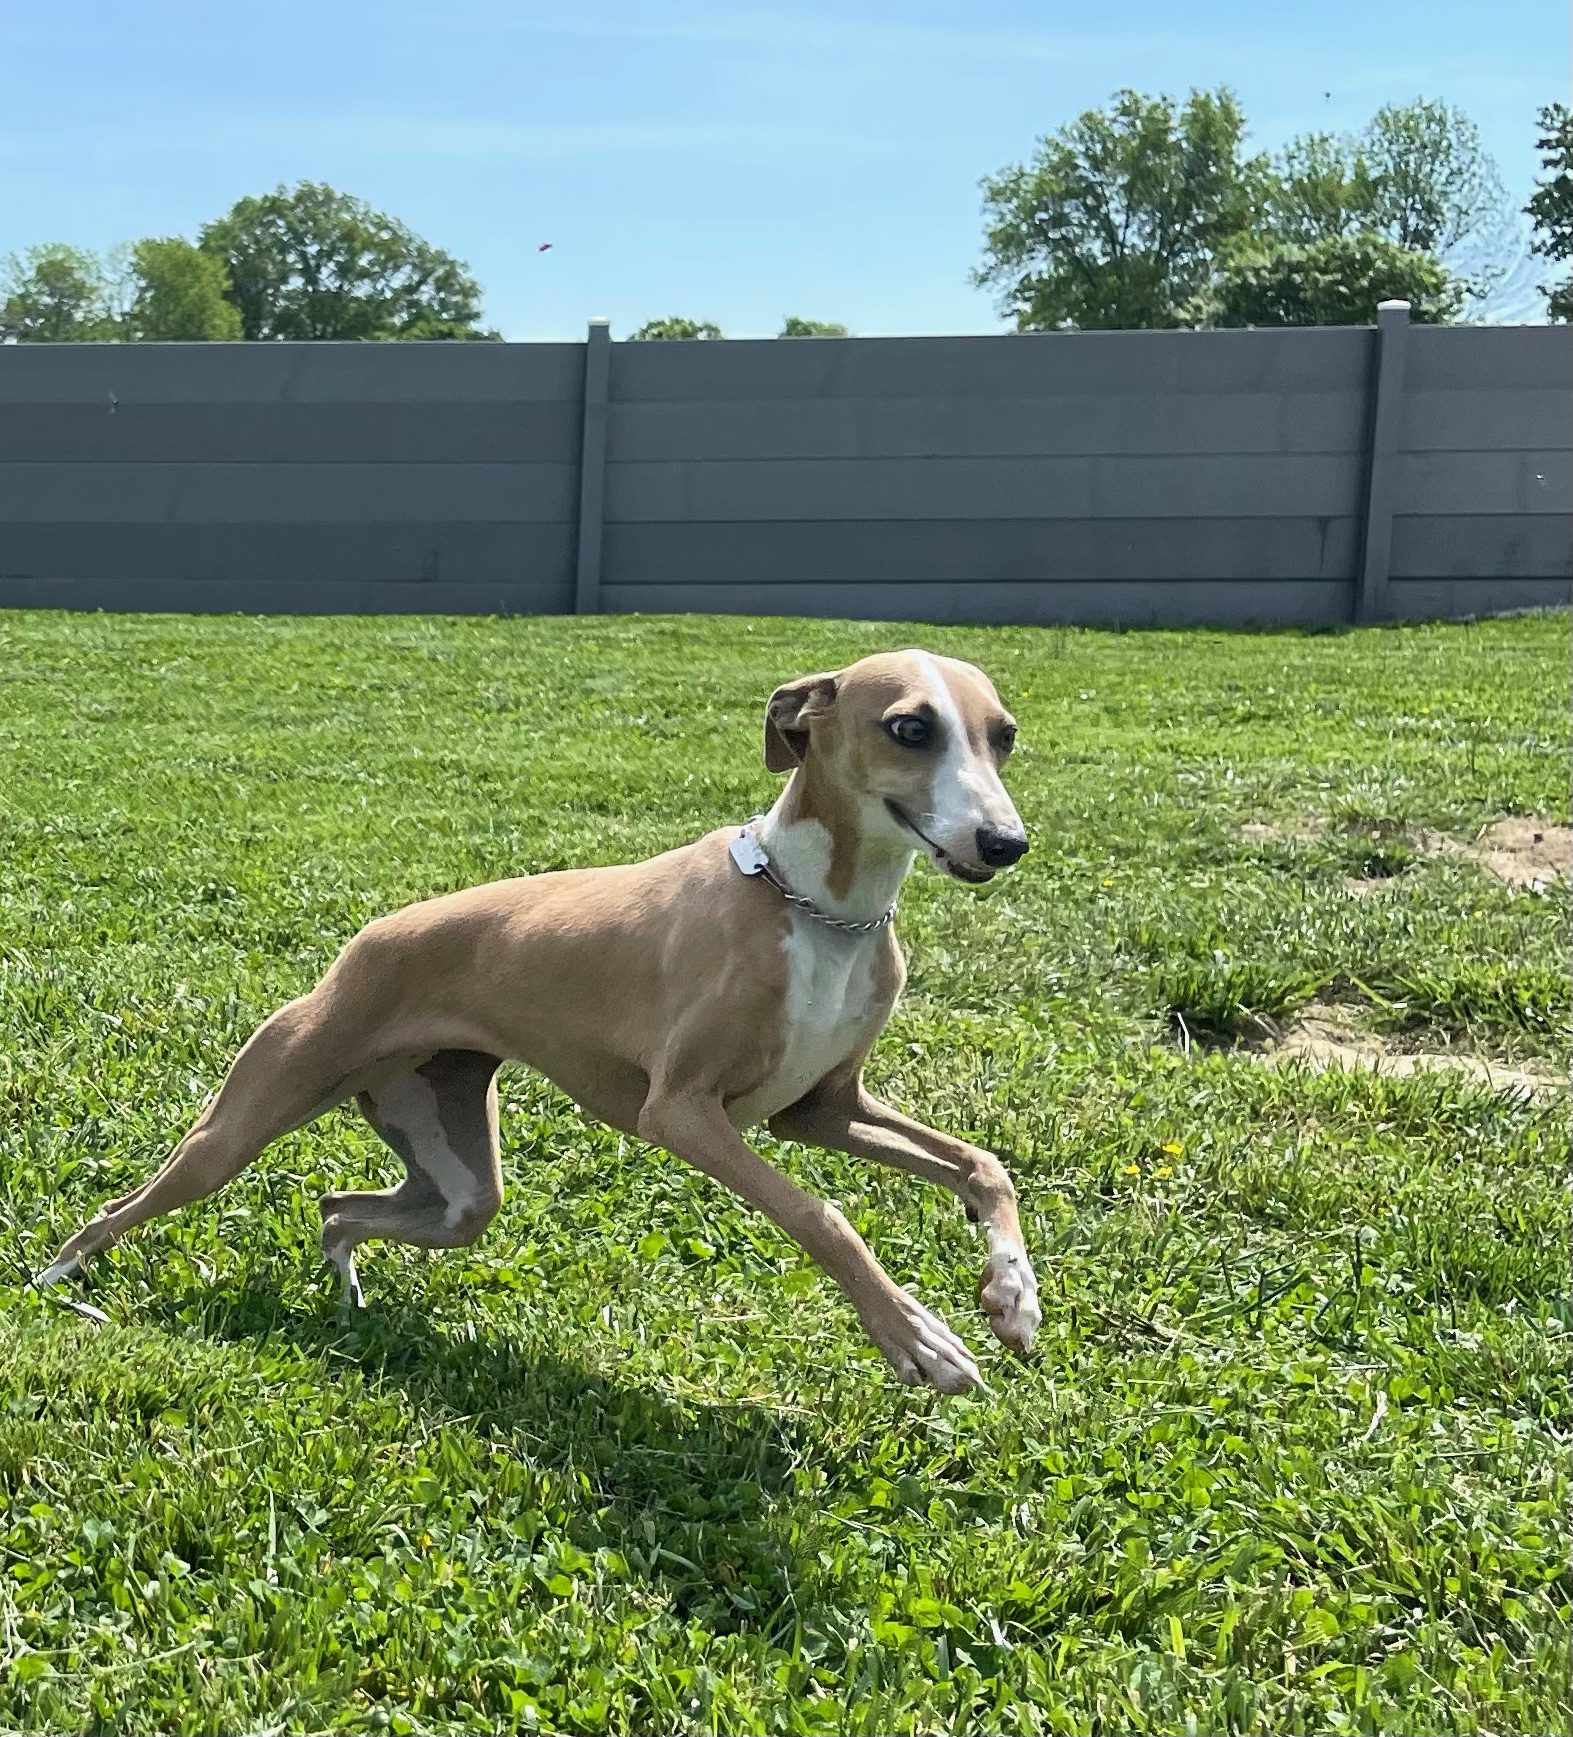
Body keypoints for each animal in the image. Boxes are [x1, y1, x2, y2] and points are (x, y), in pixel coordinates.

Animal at [33, 653, 1027, 1396]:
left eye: (1004, 734)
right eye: (909, 726)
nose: (1006, 843)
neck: (815, 908)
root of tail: (364, 938)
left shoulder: (820, 1109)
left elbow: (981, 1163)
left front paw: (1013, 1292)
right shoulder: (682, 1110)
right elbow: (824, 1215)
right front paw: (919, 1337)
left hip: (458, 1183)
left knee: (336, 1206)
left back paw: (347, 1290)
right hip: (244, 1121)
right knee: (124, 1207)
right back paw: (57, 1281)